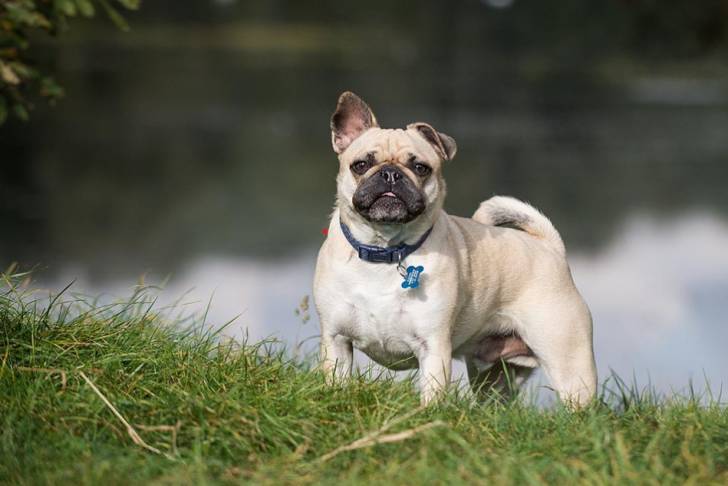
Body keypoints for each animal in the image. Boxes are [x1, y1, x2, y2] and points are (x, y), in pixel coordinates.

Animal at [312, 91, 596, 406]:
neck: (384, 251)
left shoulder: (433, 348)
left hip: (569, 366)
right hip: (494, 378)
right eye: (361, 165)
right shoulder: (337, 340)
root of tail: (550, 247)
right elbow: (336, 381)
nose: (390, 174)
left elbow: (432, 397)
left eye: (420, 168)